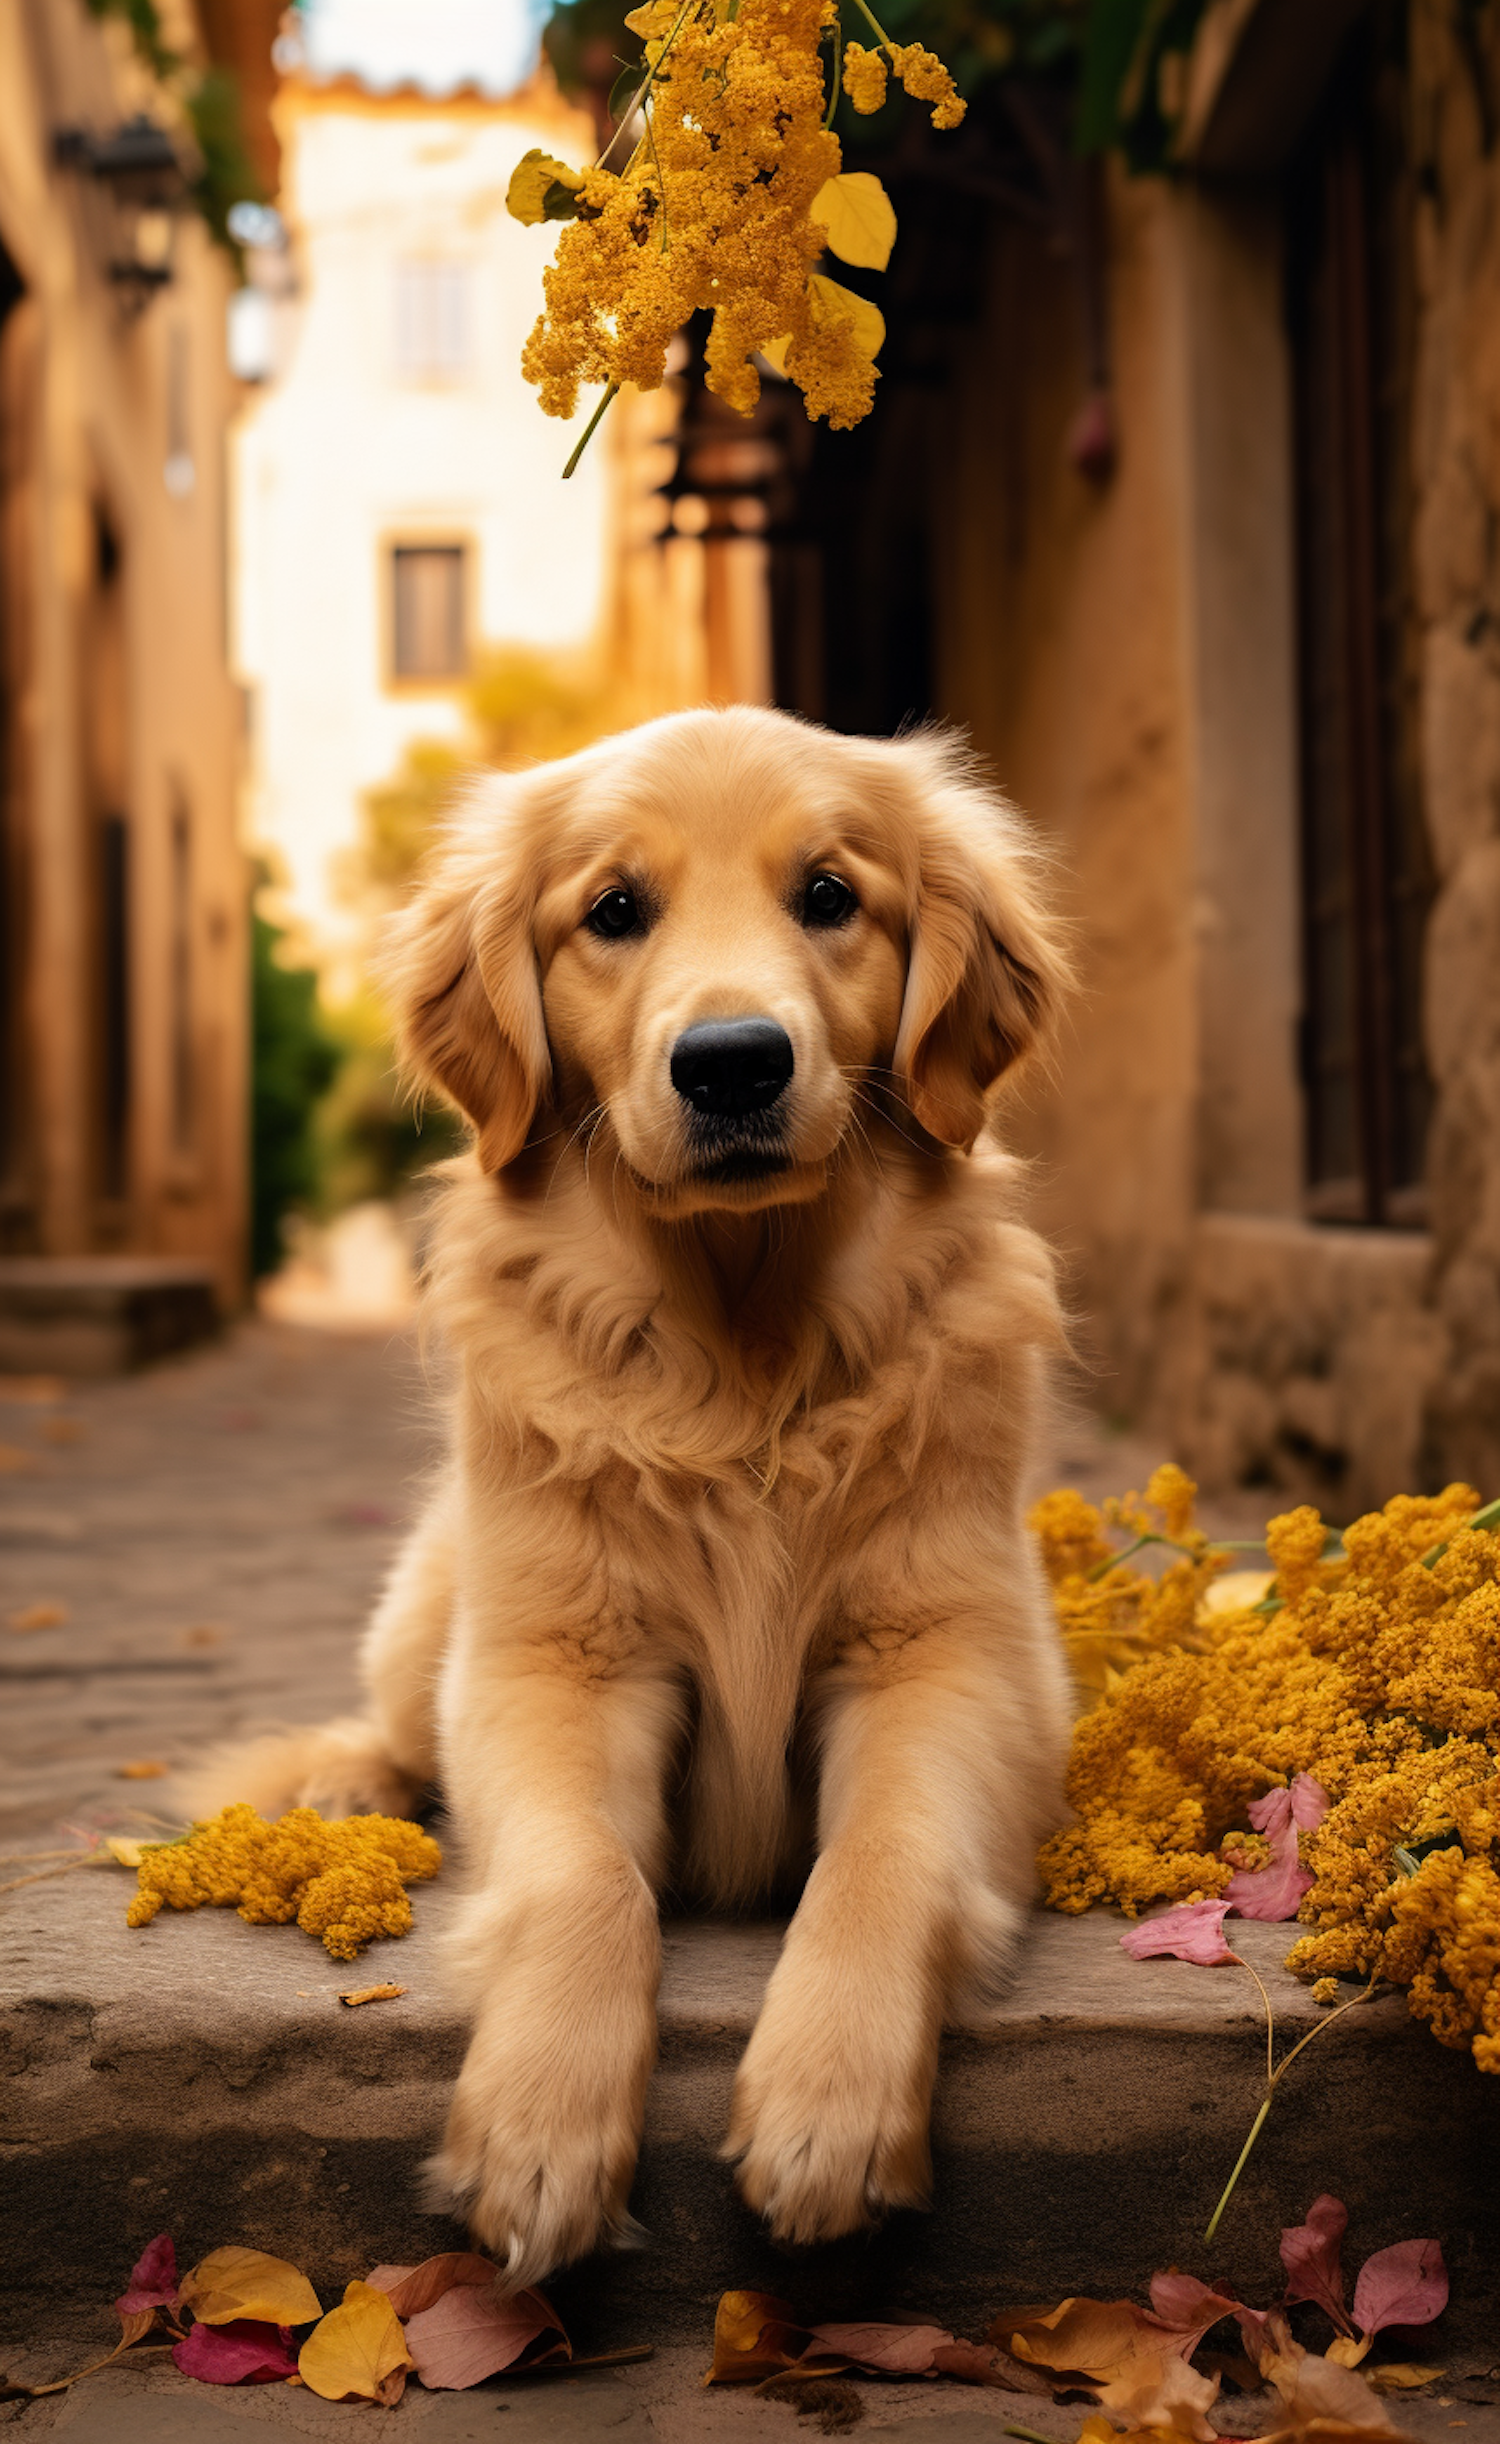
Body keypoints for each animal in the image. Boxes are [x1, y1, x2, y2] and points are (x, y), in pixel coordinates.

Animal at [211, 703, 1079, 2287]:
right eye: (613, 911)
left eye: (830, 895)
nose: (731, 1064)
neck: (741, 1361)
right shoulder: (559, 1658)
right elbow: (585, 1878)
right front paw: (537, 2129)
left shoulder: (953, 1656)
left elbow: (881, 1854)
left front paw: (828, 2105)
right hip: (435, 1598)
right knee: (395, 1722)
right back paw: (348, 1778)